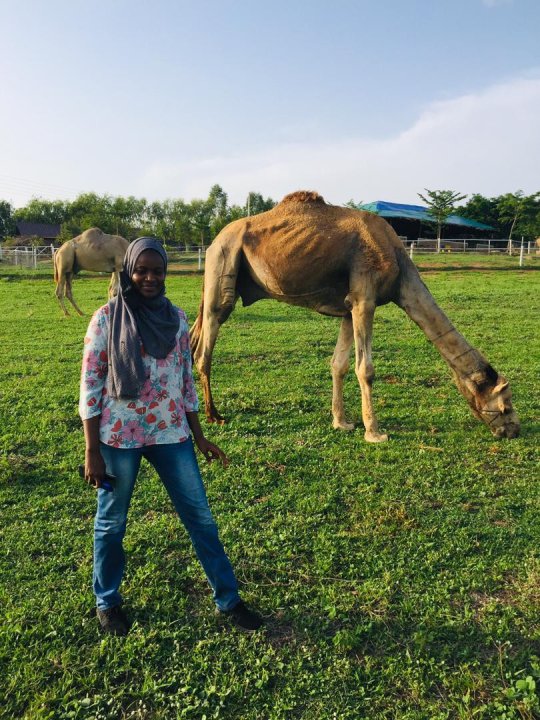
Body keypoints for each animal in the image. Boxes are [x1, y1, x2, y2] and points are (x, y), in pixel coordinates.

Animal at [190, 190, 520, 438]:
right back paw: (214, 415)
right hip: (223, 266)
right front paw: (374, 432)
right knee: (206, 342)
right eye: (505, 404)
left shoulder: (349, 308)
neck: (400, 265)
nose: (512, 430)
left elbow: (339, 364)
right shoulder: (365, 297)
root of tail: (214, 241)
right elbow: (366, 368)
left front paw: (342, 422)